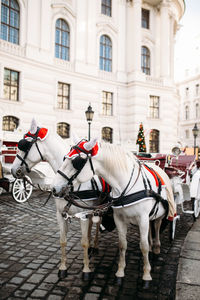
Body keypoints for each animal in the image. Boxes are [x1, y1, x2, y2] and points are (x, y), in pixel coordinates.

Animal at [10, 119, 108, 278]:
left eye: (23, 145)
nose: (13, 170)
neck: (70, 182)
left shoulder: (83, 216)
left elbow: (84, 242)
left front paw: (86, 270)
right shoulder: (60, 214)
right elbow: (62, 241)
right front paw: (63, 268)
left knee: (97, 224)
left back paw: (95, 246)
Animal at [52, 138, 176, 286]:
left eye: (77, 162)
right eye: (64, 158)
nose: (54, 188)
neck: (125, 186)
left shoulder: (143, 218)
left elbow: (143, 246)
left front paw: (146, 275)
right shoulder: (119, 218)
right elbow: (122, 245)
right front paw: (120, 273)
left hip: (158, 215)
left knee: (156, 227)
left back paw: (156, 248)